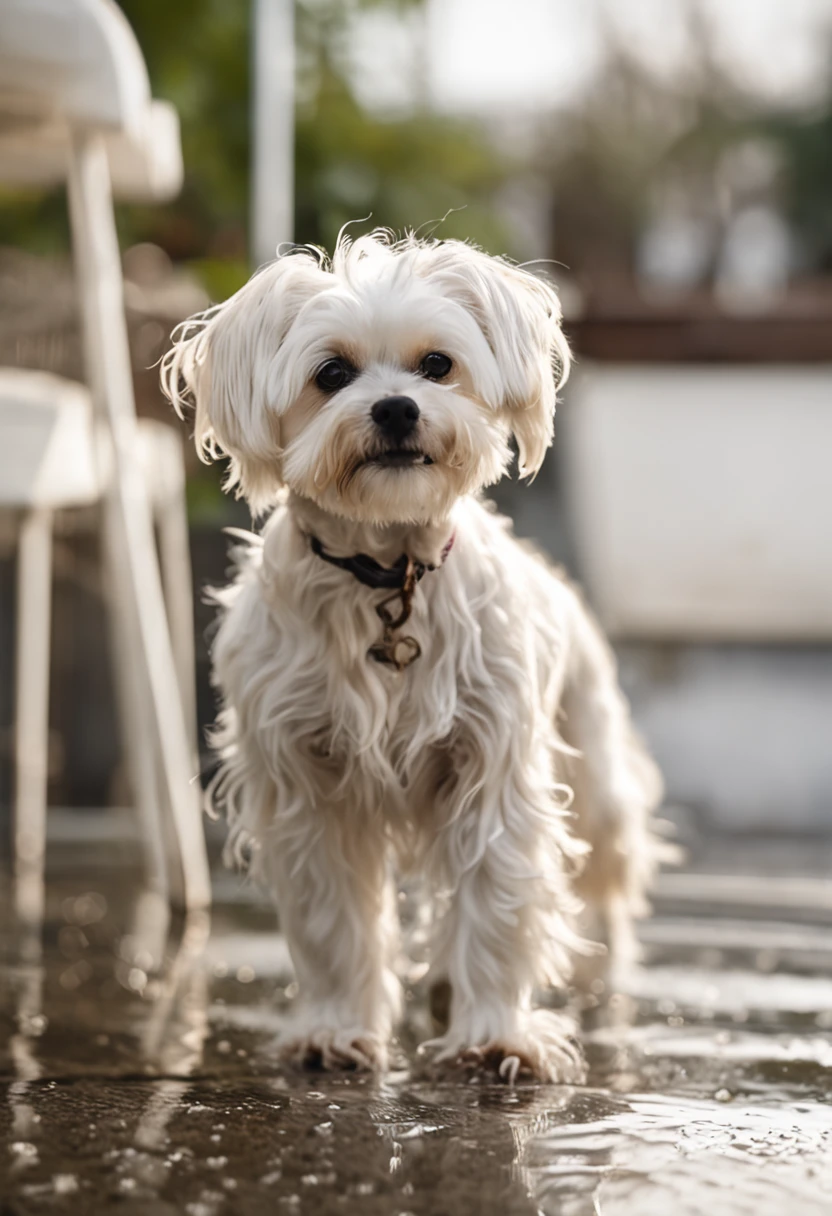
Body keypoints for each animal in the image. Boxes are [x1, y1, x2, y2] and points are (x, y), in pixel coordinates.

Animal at [162, 228, 666, 1084]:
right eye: (332, 374)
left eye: (438, 365)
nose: (397, 407)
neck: (387, 573)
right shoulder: (306, 788)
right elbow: (331, 924)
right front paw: (335, 1030)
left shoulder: (492, 775)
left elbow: (497, 907)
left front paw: (496, 1034)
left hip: (594, 773)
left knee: (605, 873)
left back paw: (598, 970)